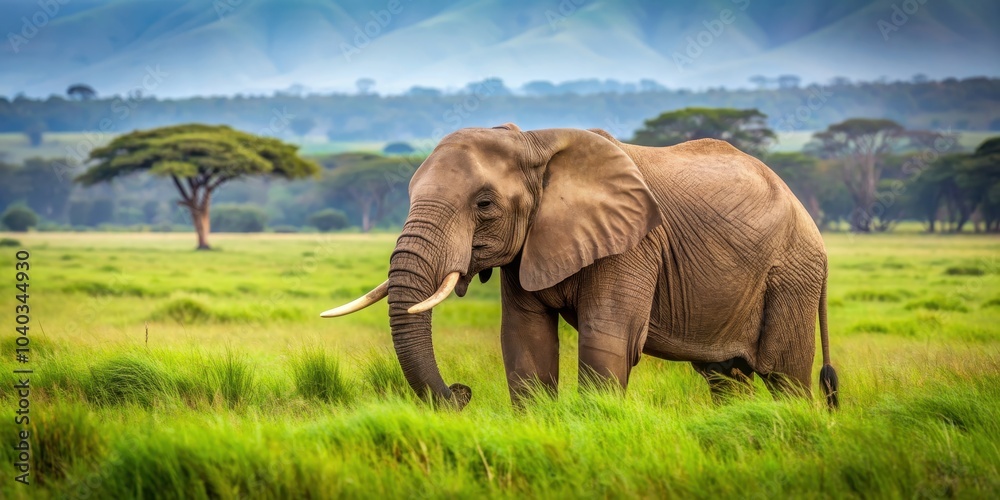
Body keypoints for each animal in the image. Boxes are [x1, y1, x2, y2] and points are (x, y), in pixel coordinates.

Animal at [321, 123, 839, 410]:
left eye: (484, 204)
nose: (460, 392)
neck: (534, 142)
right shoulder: (528, 246)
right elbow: (526, 339)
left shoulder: (634, 242)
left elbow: (608, 338)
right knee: (724, 377)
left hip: (792, 276)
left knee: (785, 376)